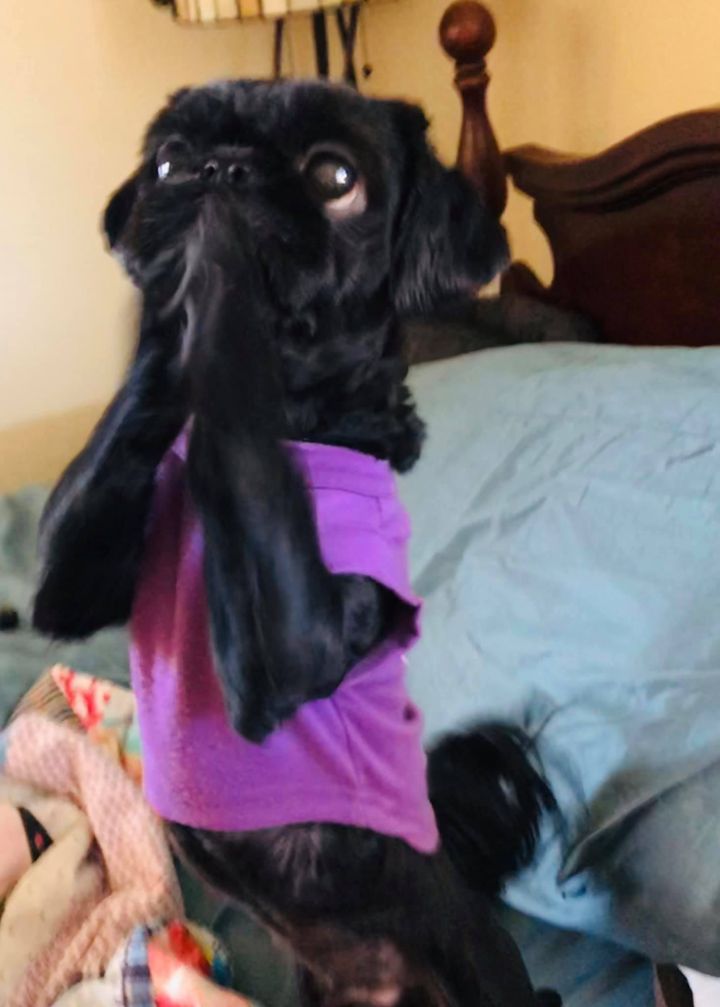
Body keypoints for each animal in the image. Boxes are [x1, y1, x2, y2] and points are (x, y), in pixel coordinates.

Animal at [33, 80, 558, 1007]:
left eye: (334, 177)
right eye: (166, 160)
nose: (218, 169)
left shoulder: (292, 645)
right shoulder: (80, 574)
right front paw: (172, 316)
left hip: (481, 967)